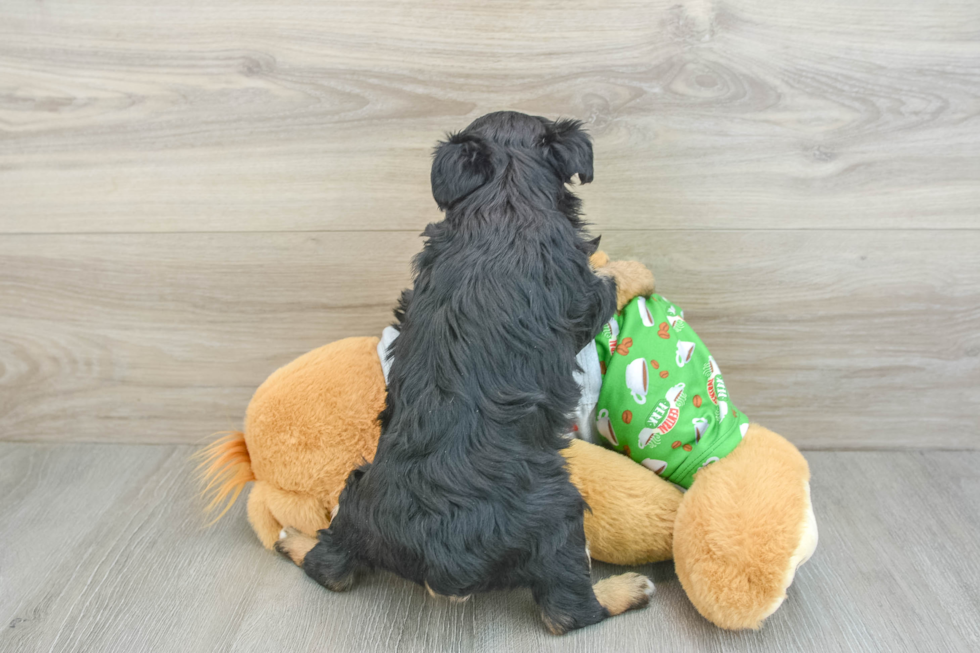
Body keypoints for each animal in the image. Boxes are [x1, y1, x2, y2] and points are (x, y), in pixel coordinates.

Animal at [276, 111, 656, 632]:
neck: (504, 194)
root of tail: (443, 569)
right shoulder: (585, 301)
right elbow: (611, 279)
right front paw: (637, 269)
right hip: (559, 513)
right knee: (566, 612)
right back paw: (628, 589)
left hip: (356, 491)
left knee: (331, 567)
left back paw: (293, 538)